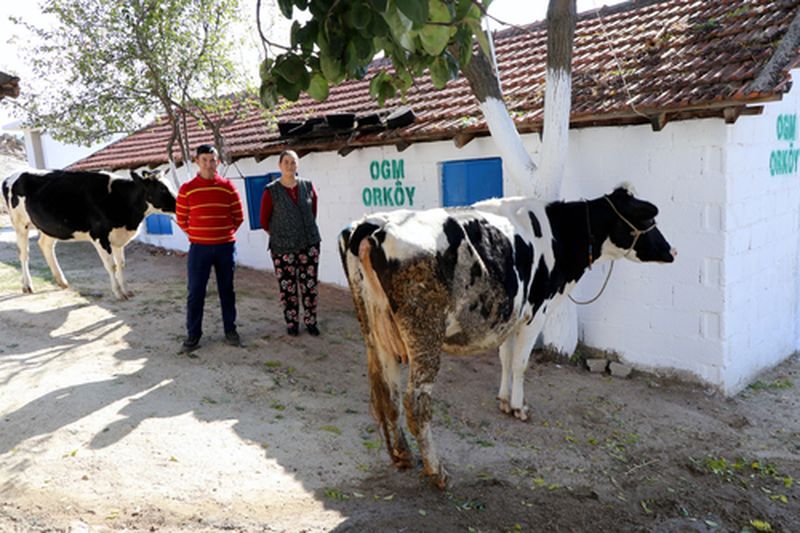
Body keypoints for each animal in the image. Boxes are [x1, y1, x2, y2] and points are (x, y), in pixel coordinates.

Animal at [1, 168, 177, 298]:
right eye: (162, 189)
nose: (178, 203)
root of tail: (11, 176)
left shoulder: (118, 237)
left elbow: (121, 264)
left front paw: (126, 290)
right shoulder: (99, 236)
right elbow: (111, 265)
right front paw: (118, 293)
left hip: (49, 227)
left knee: (45, 246)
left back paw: (61, 281)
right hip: (20, 224)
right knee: (24, 254)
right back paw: (27, 285)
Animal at [338, 184, 676, 486]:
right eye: (649, 220)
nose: (672, 251)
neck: (558, 233)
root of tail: (373, 225)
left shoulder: (511, 315)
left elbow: (504, 357)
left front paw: (503, 400)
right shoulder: (536, 310)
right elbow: (519, 363)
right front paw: (518, 407)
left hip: (376, 331)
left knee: (385, 393)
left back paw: (401, 455)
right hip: (424, 332)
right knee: (416, 402)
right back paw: (437, 472)